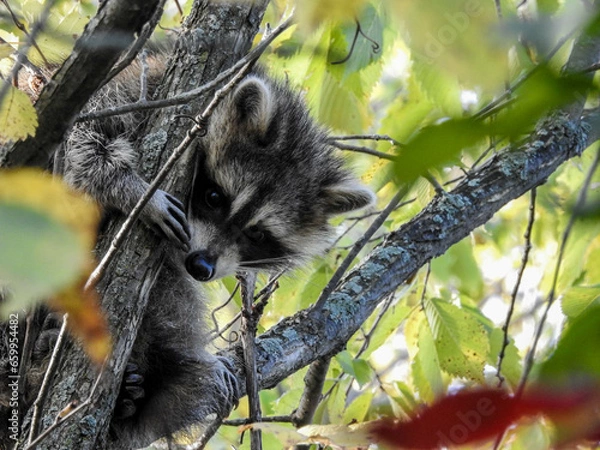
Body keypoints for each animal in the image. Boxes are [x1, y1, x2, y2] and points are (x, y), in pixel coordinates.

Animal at [0, 51, 376, 446]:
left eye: (257, 235)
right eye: (214, 197)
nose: (201, 266)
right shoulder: (129, 93)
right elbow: (83, 141)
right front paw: (130, 188)